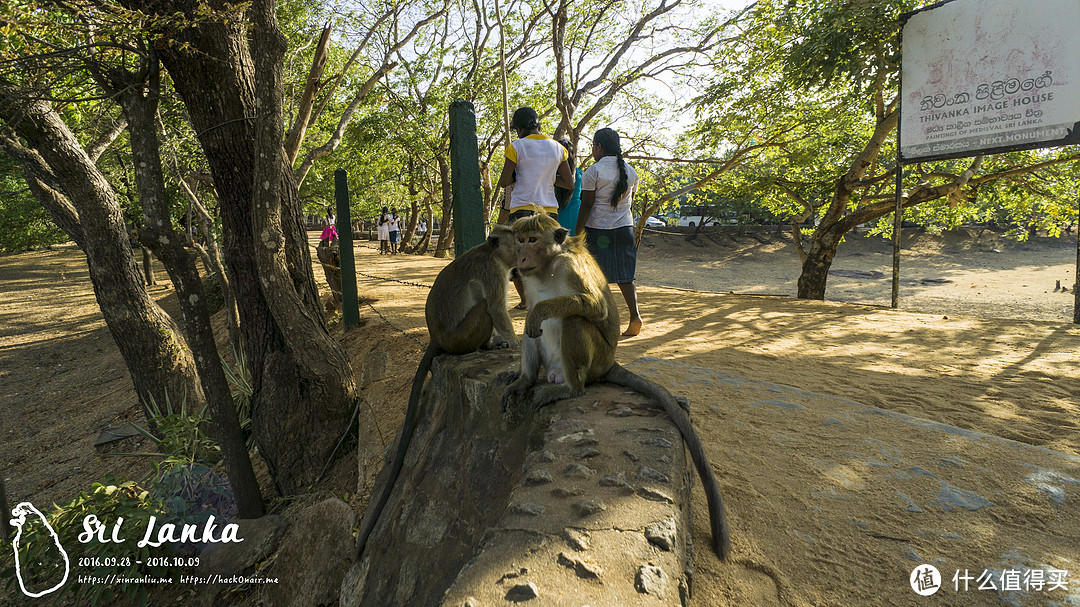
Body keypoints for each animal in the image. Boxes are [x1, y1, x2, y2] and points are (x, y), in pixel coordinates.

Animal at [354, 223, 518, 557]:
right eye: (518, 239)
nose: (524, 250)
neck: (493, 253)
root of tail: (436, 338)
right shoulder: (493, 273)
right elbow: (496, 307)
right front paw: (515, 343)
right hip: (462, 335)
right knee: (483, 308)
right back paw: (484, 346)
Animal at [498, 212, 734, 557]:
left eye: (532, 240)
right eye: (519, 240)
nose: (522, 256)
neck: (547, 266)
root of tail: (609, 363)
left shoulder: (571, 269)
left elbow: (594, 307)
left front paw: (542, 310)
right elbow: (532, 315)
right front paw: (522, 376)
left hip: (593, 360)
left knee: (573, 319)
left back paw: (569, 388)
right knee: (536, 331)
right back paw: (527, 380)